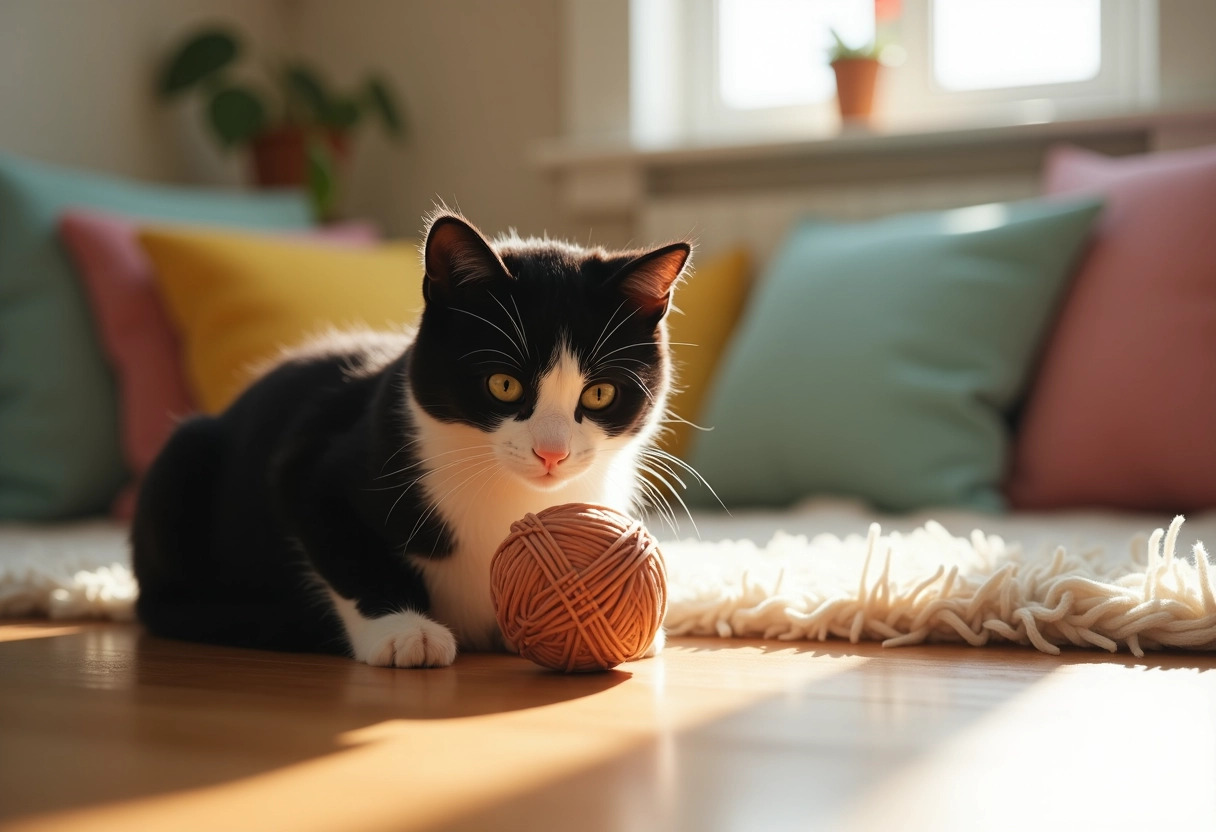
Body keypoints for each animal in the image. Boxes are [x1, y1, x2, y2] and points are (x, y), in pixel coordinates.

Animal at [133, 212, 695, 671]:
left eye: (600, 393)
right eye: (503, 384)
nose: (551, 452)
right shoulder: (311, 465)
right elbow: (348, 550)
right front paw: (403, 630)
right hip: (184, 456)